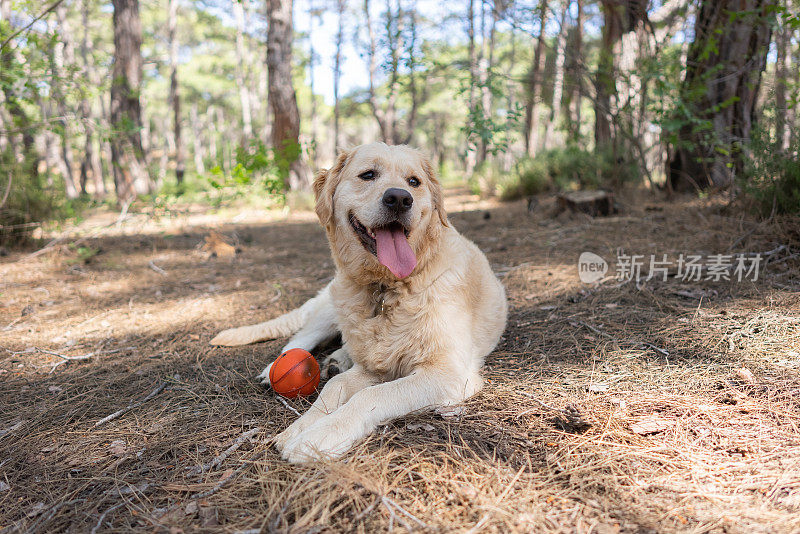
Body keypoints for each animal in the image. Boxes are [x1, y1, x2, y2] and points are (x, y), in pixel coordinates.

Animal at [212, 143, 506, 464]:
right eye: (368, 175)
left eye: (414, 181)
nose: (400, 198)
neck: (386, 288)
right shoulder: (378, 368)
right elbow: (335, 387)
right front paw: (300, 428)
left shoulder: (448, 373)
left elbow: (370, 395)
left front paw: (316, 436)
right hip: (331, 305)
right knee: (301, 338)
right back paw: (277, 367)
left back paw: (336, 359)